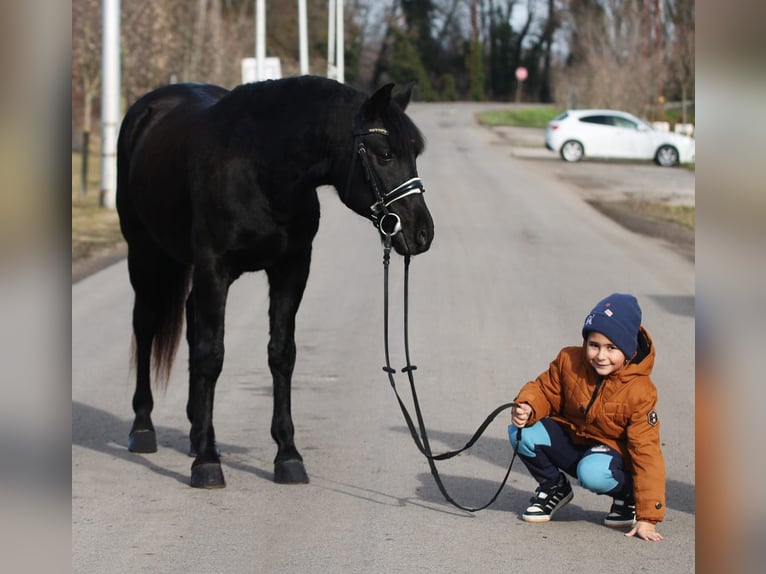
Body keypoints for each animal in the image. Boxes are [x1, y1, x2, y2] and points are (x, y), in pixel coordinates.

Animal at [117, 76, 436, 490]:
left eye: (415, 152)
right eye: (384, 153)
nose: (422, 233)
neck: (260, 169)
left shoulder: (291, 269)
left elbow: (281, 354)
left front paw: (287, 455)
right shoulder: (214, 269)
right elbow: (211, 355)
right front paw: (206, 465)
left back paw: (199, 433)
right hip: (144, 253)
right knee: (145, 326)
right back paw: (144, 427)